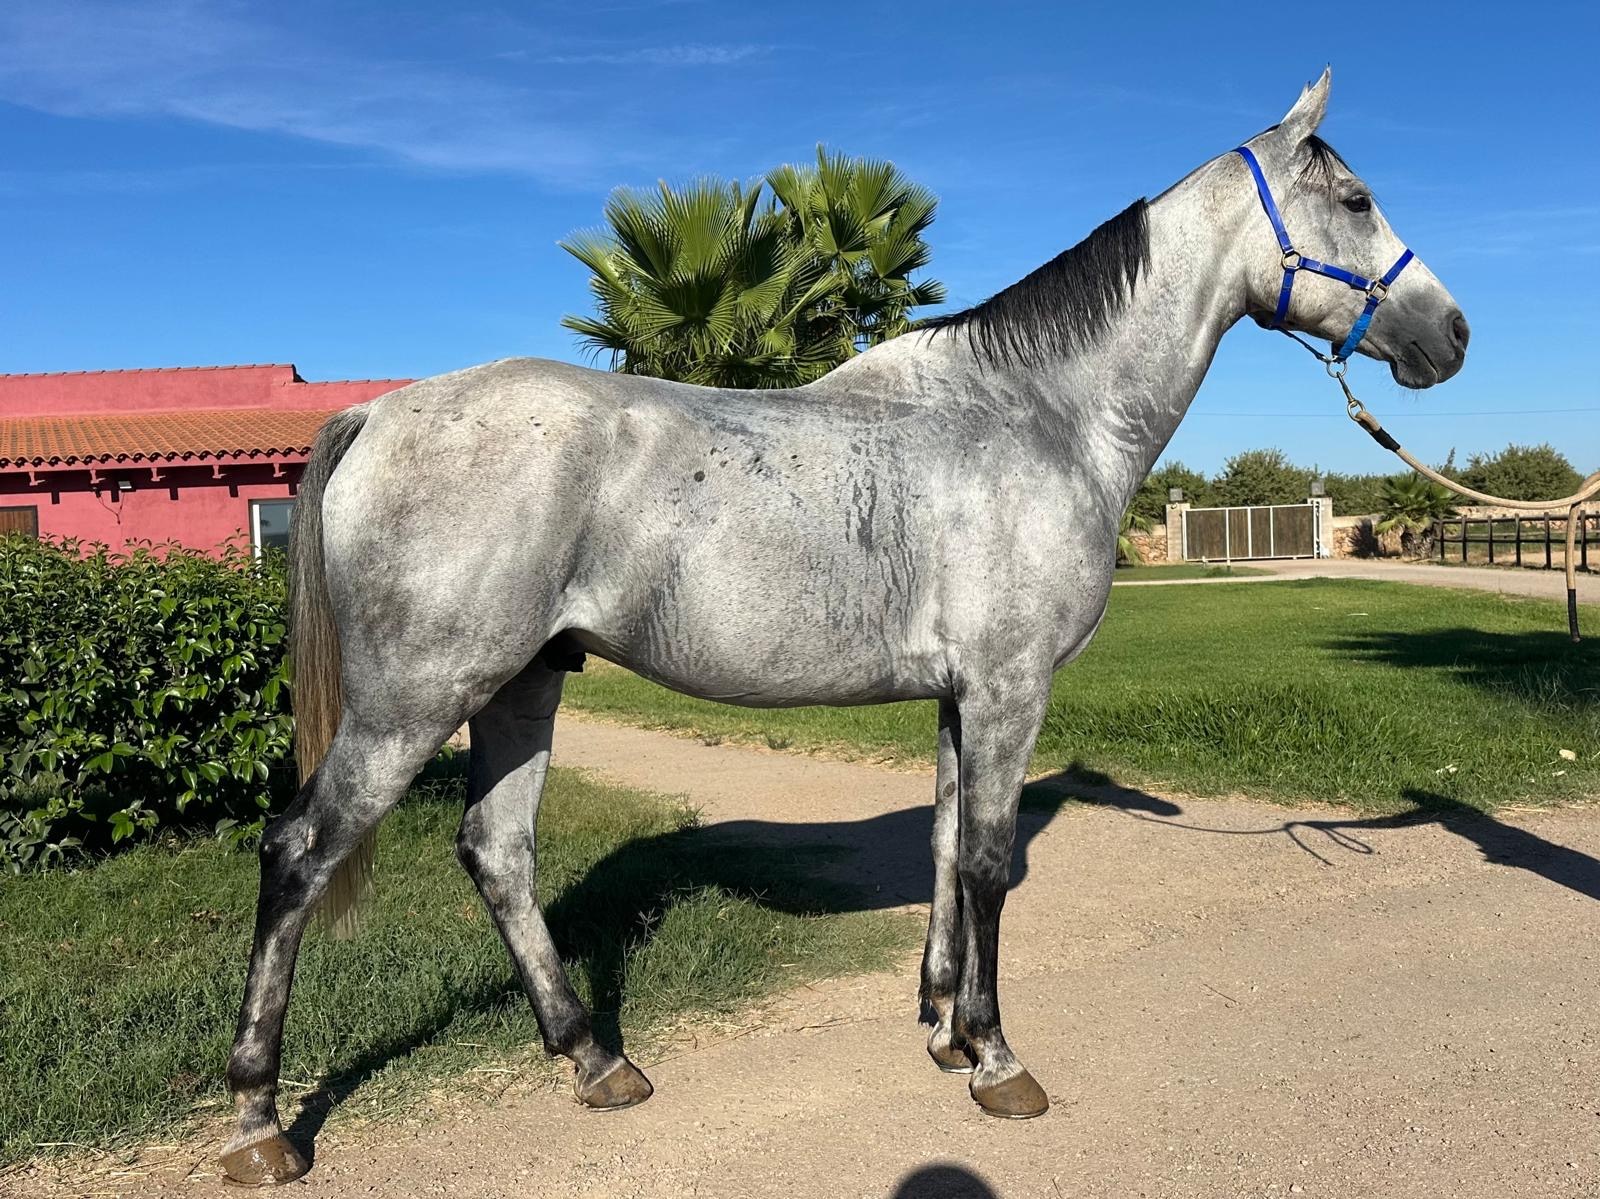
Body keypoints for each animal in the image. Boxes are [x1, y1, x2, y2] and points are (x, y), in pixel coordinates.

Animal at [220, 68, 1469, 1184]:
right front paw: (999, 1061)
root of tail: (381, 410)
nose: (1449, 334)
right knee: (298, 849)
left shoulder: (962, 697)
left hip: (523, 684)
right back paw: (259, 1122)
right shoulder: (1009, 688)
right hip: (415, 697)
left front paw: (945, 1025)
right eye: (1356, 199)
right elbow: (987, 861)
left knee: (498, 851)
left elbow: (946, 849)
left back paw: (594, 1059)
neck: (1037, 415)